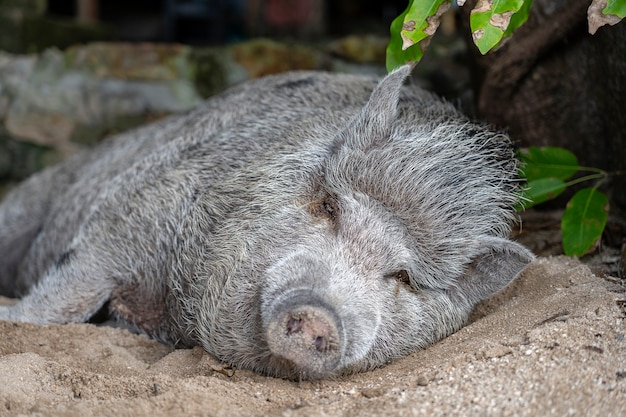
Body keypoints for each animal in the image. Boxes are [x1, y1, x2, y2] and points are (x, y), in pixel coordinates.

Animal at [0, 64, 532, 376]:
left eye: (403, 276)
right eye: (329, 207)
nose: (320, 312)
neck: (176, 319)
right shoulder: (132, 211)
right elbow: (70, 292)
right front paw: (11, 319)